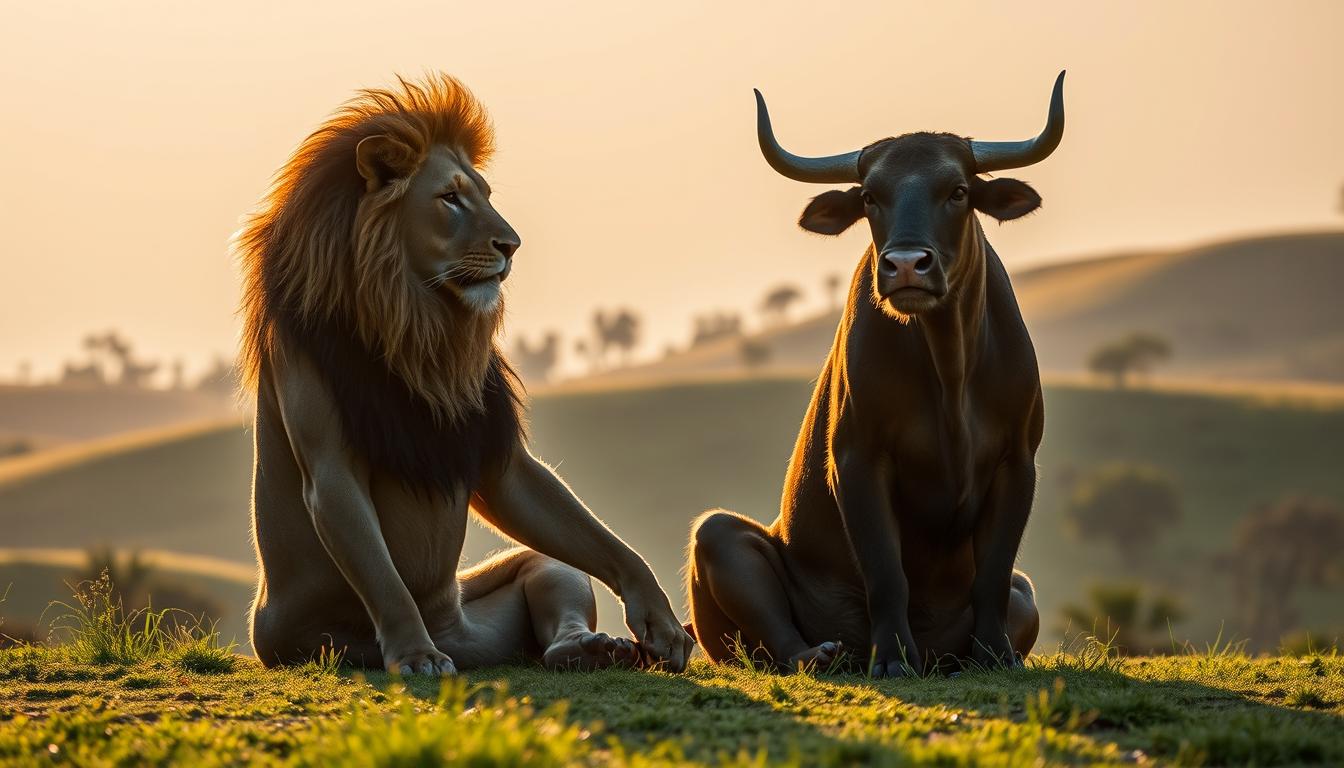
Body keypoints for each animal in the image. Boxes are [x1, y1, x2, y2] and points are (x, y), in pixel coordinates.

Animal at [237, 74, 693, 675]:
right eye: (449, 198)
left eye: (485, 196)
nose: (511, 245)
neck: (415, 319)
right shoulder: (319, 427)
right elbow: (381, 571)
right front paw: (414, 654)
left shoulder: (499, 453)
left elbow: (519, 484)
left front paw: (657, 615)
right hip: (303, 643)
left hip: (487, 610)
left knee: (553, 572)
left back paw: (590, 648)